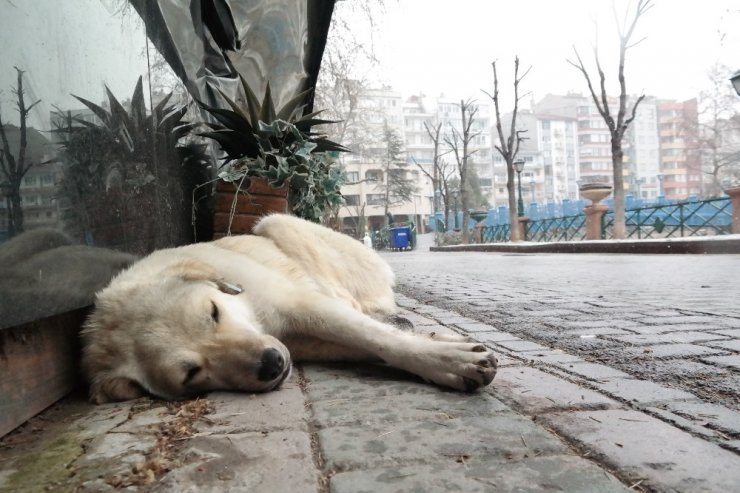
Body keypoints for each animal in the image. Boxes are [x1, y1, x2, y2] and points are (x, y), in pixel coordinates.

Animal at [79, 213, 498, 402]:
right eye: (191, 373)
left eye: (213, 312)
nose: (271, 364)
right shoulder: (299, 341)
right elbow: (371, 345)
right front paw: (443, 351)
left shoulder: (303, 305)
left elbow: (380, 339)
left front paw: (448, 360)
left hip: (275, 222)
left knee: (365, 309)